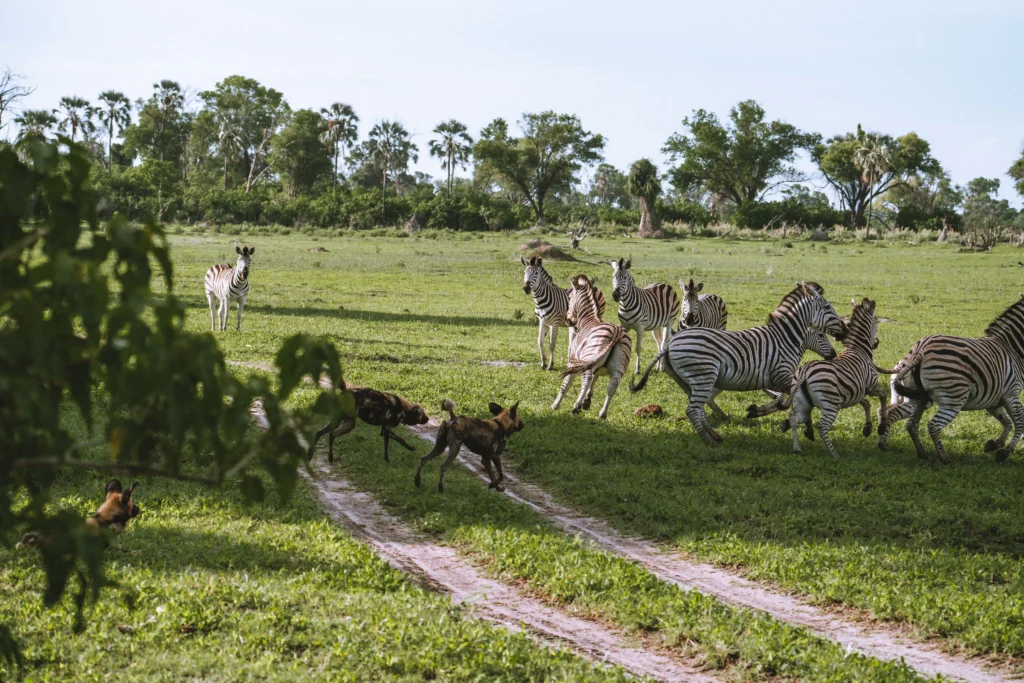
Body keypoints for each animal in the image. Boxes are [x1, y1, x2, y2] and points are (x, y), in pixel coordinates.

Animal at [552, 274, 630, 419]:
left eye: (569, 298)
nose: (567, 320)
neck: (587, 319)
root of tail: (616, 331)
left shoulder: (574, 360)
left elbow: (566, 383)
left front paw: (555, 405)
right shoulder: (594, 366)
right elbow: (594, 380)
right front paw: (587, 402)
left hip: (589, 357)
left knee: (587, 378)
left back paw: (576, 406)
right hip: (618, 368)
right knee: (612, 386)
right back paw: (602, 413)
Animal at [630, 282, 847, 446]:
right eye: (827, 308)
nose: (834, 353)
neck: (786, 338)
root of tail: (671, 343)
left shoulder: (772, 378)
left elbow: (785, 400)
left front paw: (758, 410)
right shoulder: (781, 374)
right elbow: (787, 400)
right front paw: (762, 412)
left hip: (687, 381)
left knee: (699, 408)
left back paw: (716, 434)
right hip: (704, 375)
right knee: (693, 410)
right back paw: (709, 440)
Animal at [782, 296, 897, 456]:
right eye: (876, 321)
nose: (876, 343)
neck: (859, 349)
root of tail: (805, 371)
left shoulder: (856, 392)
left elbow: (866, 404)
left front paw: (867, 428)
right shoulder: (872, 386)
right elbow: (883, 398)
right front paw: (880, 427)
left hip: (802, 403)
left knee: (793, 419)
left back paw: (797, 448)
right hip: (830, 404)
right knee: (822, 426)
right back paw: (835, 454)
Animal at [876, 294, 1024, 464]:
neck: (1011, 347)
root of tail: (920, 350)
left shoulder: (993, 399)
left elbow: (1007, 422)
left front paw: (995, 444)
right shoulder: (1011, 393)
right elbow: (1020, 421)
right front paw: (1005, 451)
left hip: (918, 397)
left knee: (907, 422)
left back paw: (919, 452)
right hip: (953, 397)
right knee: (933, 425)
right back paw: (944, 458)